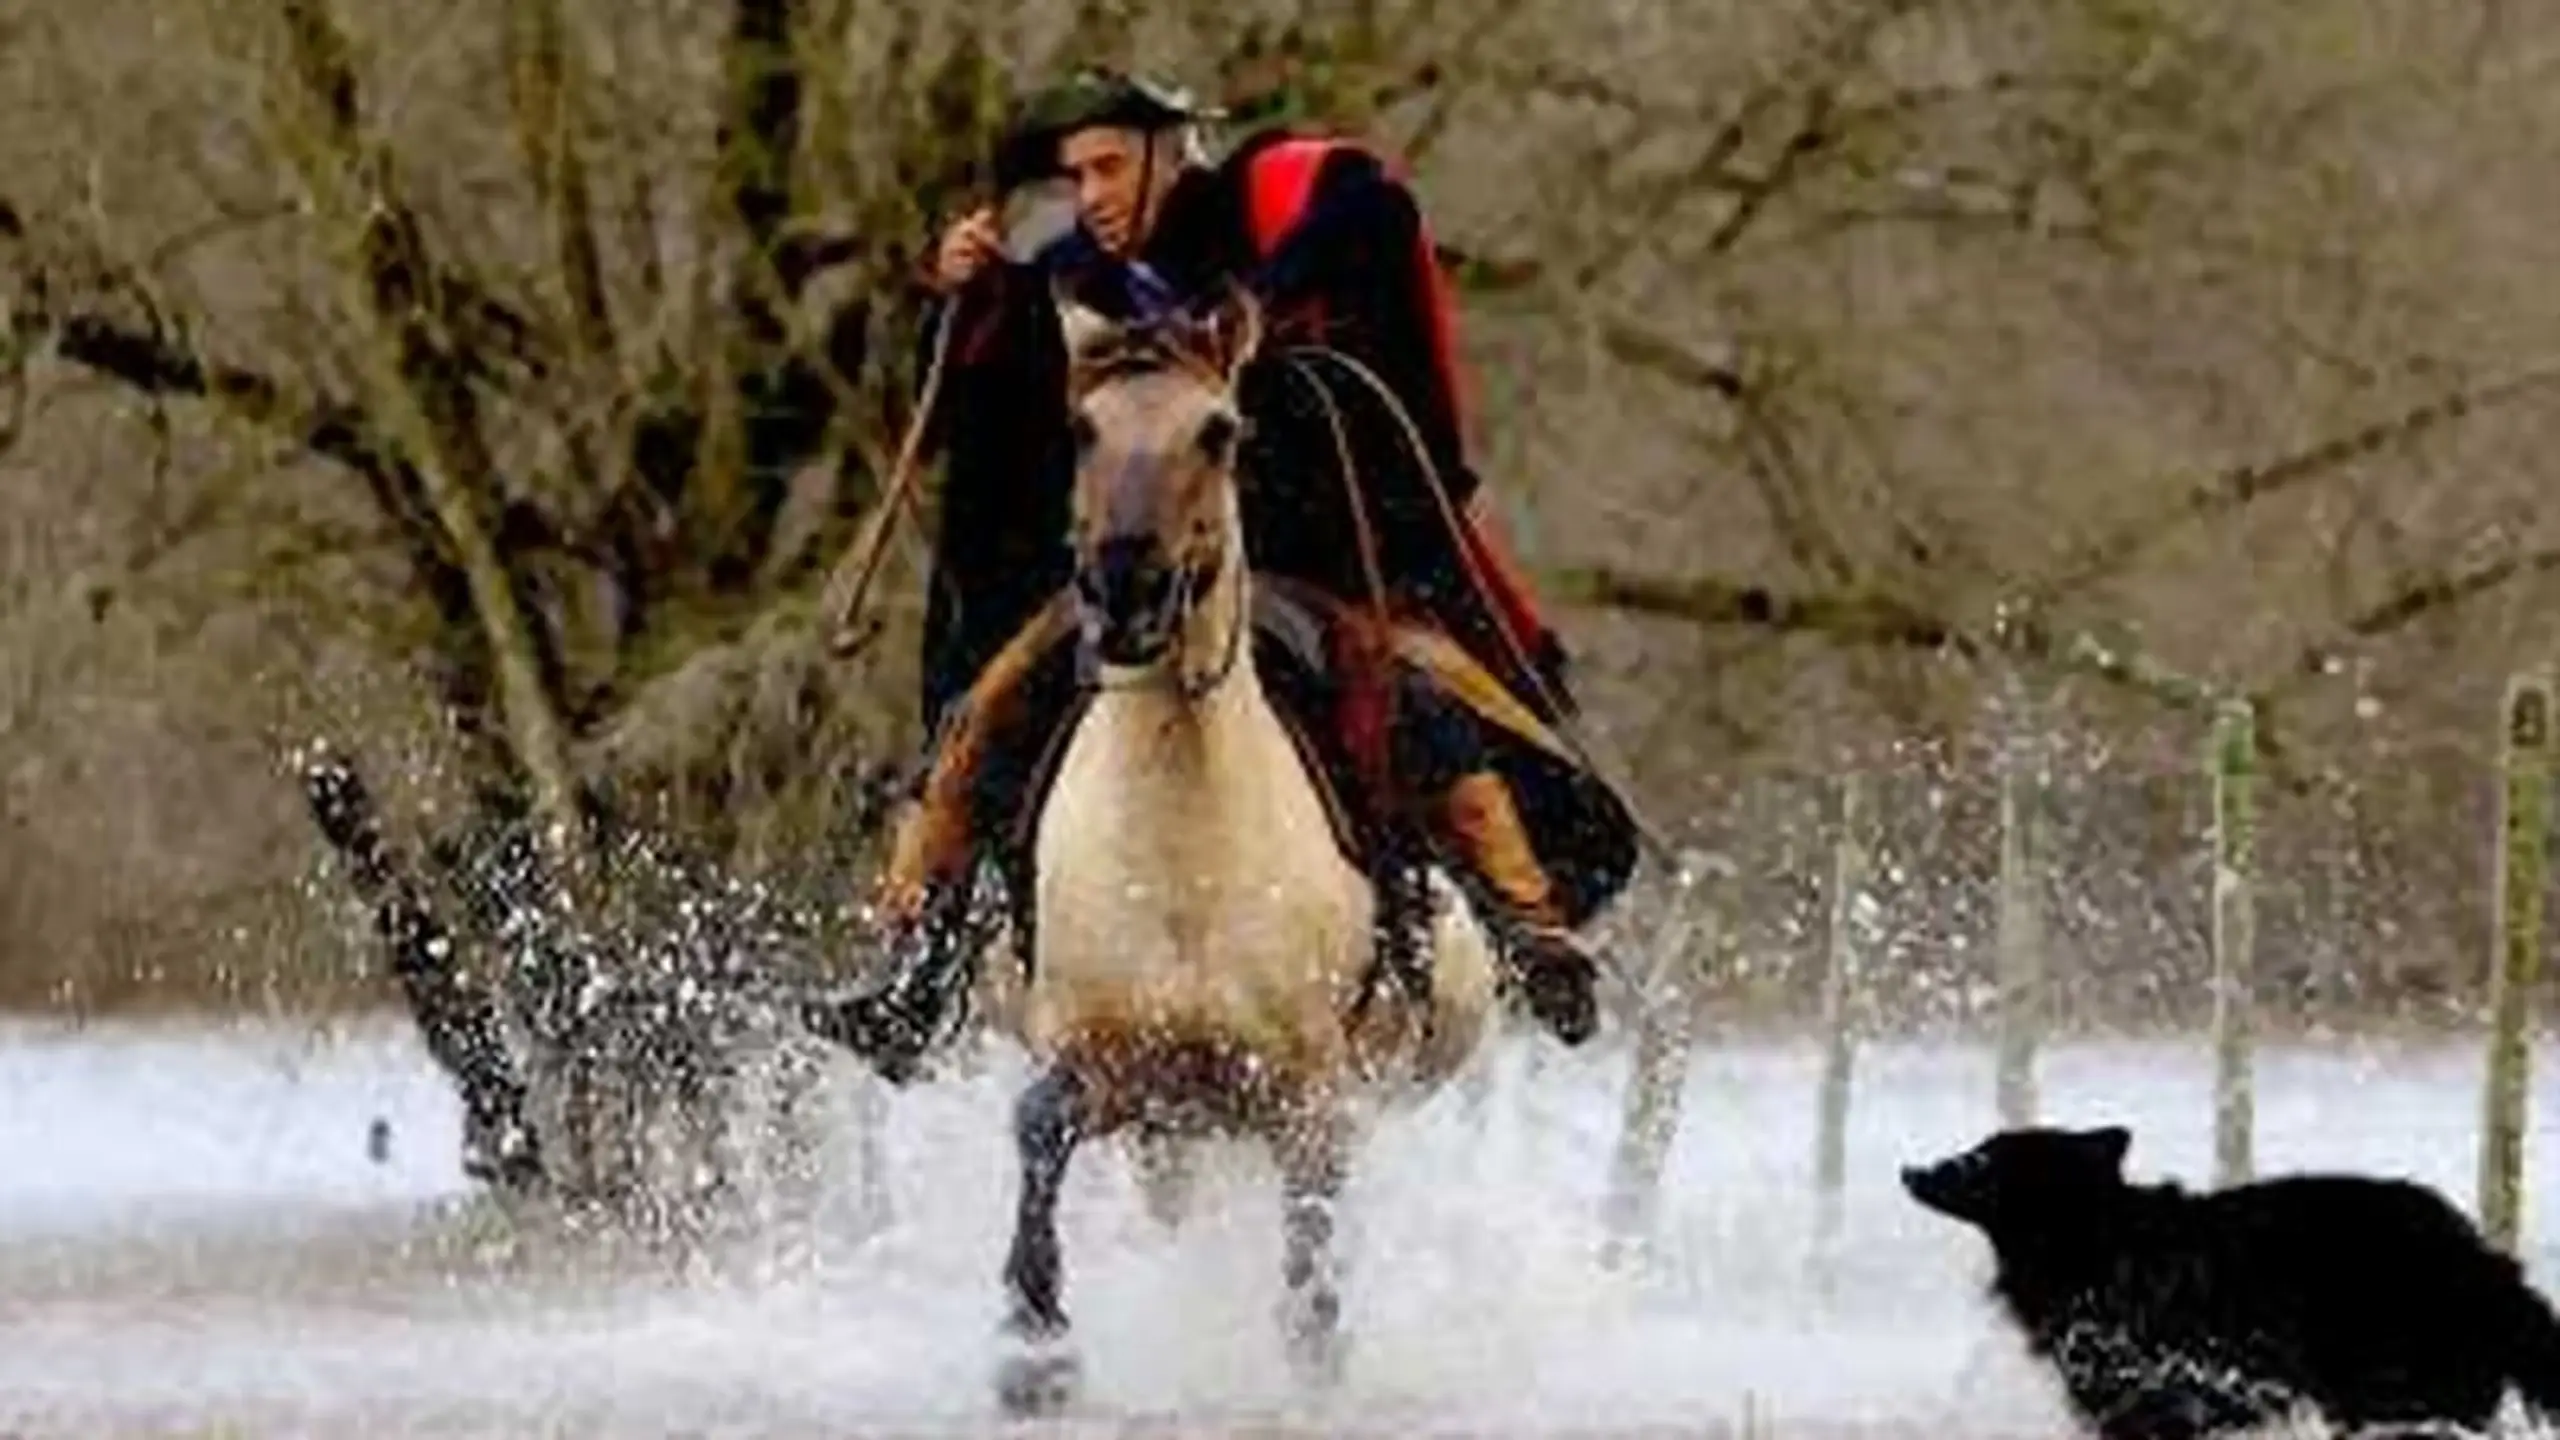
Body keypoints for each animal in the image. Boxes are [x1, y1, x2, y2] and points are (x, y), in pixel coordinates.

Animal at [977, 285, 1495, 1404]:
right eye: (1082, 428)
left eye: (1218, 430)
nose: (1127, 589)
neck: (1181, 851)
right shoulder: (1106, 1060)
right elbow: (1038, 1125)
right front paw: (1035, 1349)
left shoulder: (1303, 1092)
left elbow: (1310, 1253)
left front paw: (1312, 1362)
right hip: (1174, 1134)